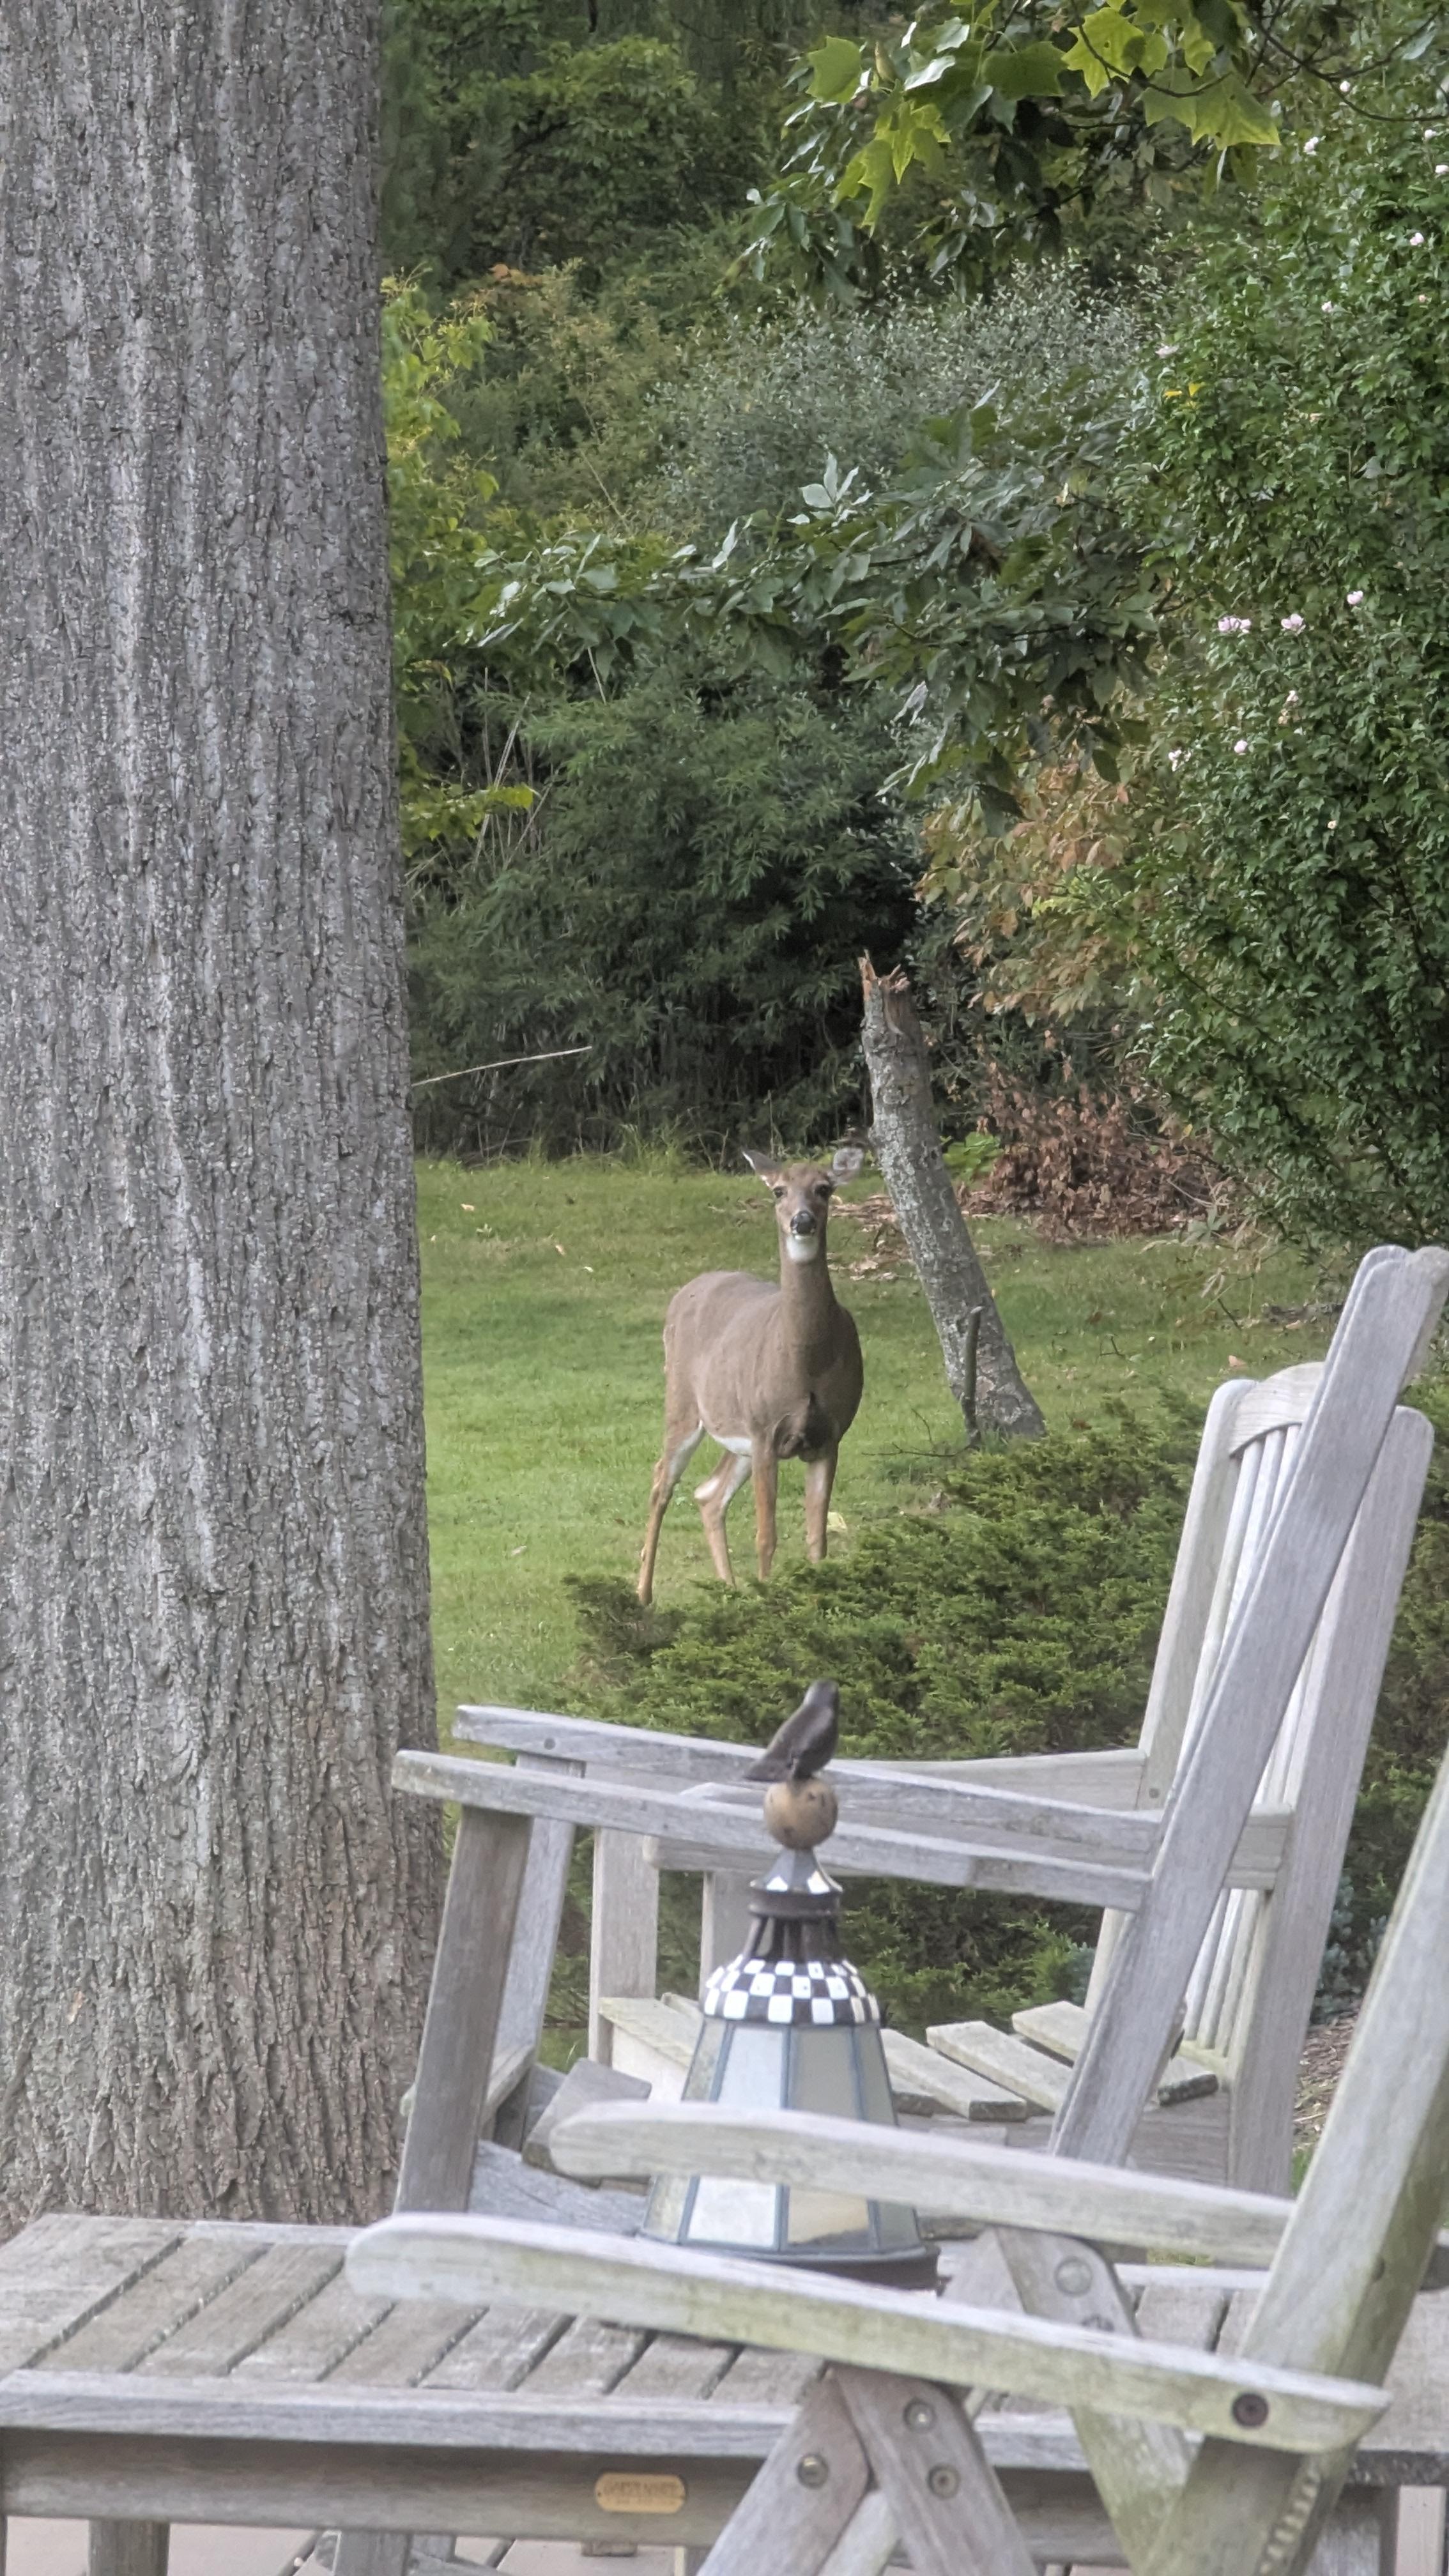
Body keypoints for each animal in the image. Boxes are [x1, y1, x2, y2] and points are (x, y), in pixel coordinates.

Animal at [637, 1146, 865, 1605]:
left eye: (824, 1189)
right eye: (778, 1191)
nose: (802, 1221)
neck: (806, 1364)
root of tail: (684, 1291)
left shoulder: (831, 1435)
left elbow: (817, 1537)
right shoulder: (765, 1430)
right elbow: (766, 1535)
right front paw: (767, 1598)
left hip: (735, 1432)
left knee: (708, 1494)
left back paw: (730, 1591)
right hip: (685, 1403)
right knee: (661, 1482)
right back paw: (644, 1594)